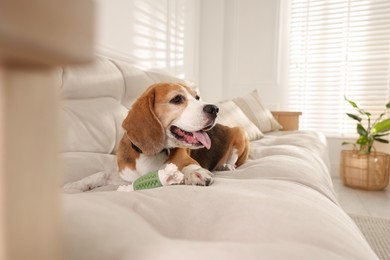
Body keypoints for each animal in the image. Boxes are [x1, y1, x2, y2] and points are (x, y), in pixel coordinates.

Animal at [117, 82, 248, 186]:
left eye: (197, 97)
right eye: (177, 99)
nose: (215, 109)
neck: (151, 155)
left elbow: (188, 165)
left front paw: (195, 172)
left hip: (240, 132)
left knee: (232, 160)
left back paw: (226, 166)